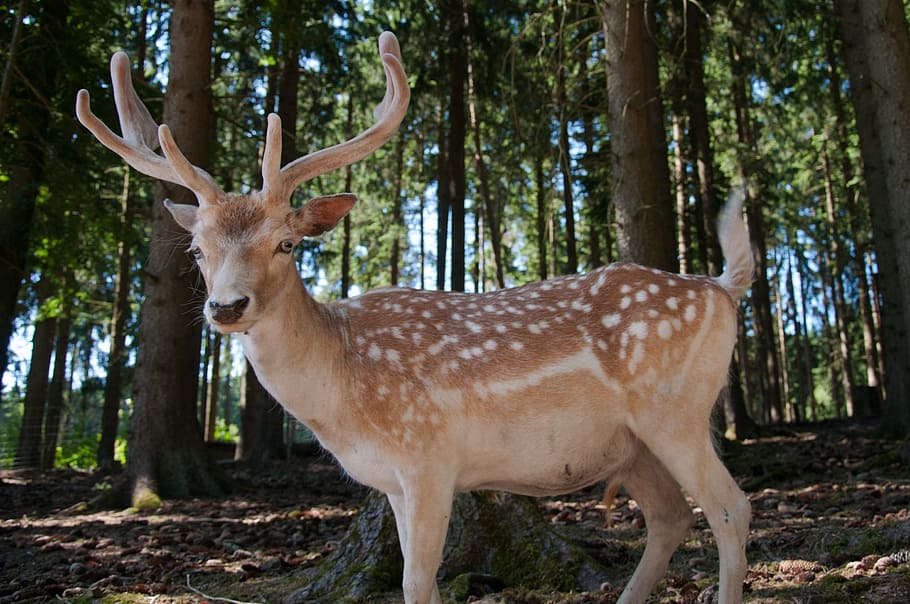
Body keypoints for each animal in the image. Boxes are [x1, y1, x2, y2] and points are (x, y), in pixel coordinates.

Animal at [77, 31, 752, 604]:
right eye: (197, 250)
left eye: (286, 244)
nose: (226, 307)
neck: (344, 390)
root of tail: (721, 288)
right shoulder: (394, 482)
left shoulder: (429, 457)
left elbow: (417, 582)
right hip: (632, 446)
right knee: (670, 515)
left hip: (675, 409)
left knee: (730, 508)